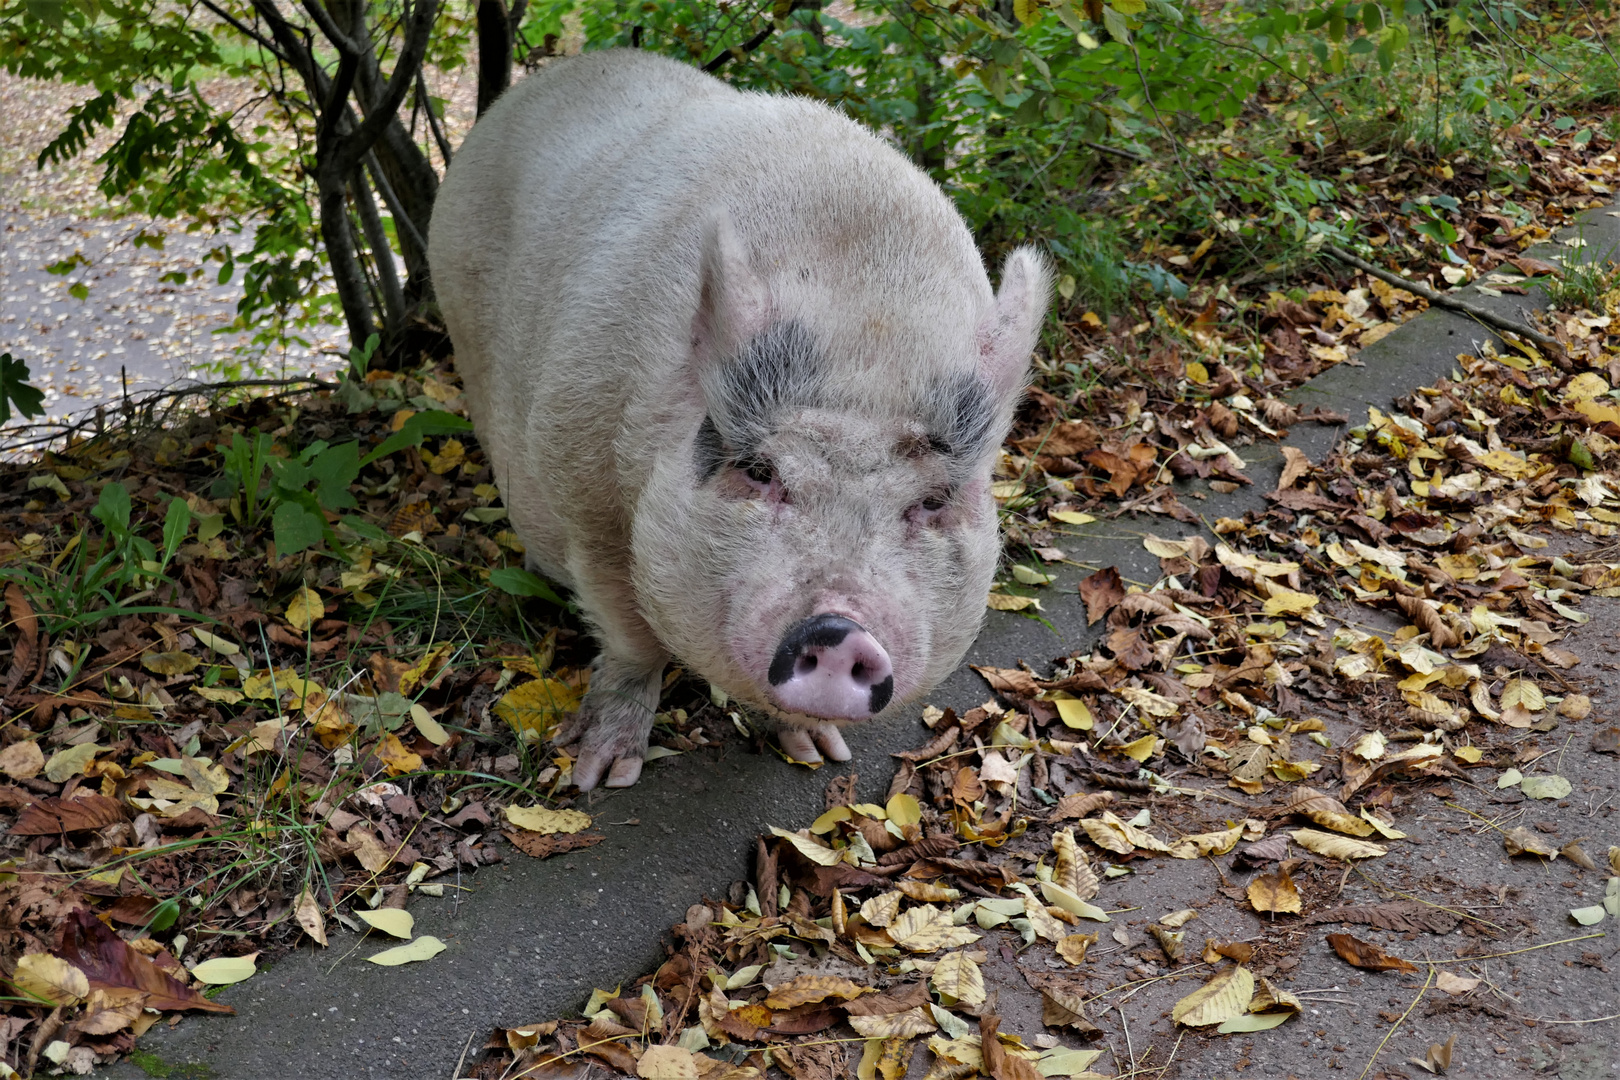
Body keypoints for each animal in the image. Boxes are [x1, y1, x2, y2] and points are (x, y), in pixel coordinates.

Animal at [427, 50, 1049, 790]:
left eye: (932, 501)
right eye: (758, 471)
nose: (840, 632)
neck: (863, 336)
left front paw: (818, 754)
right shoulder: (582, 484)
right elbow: (631, 637)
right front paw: (602, 777)